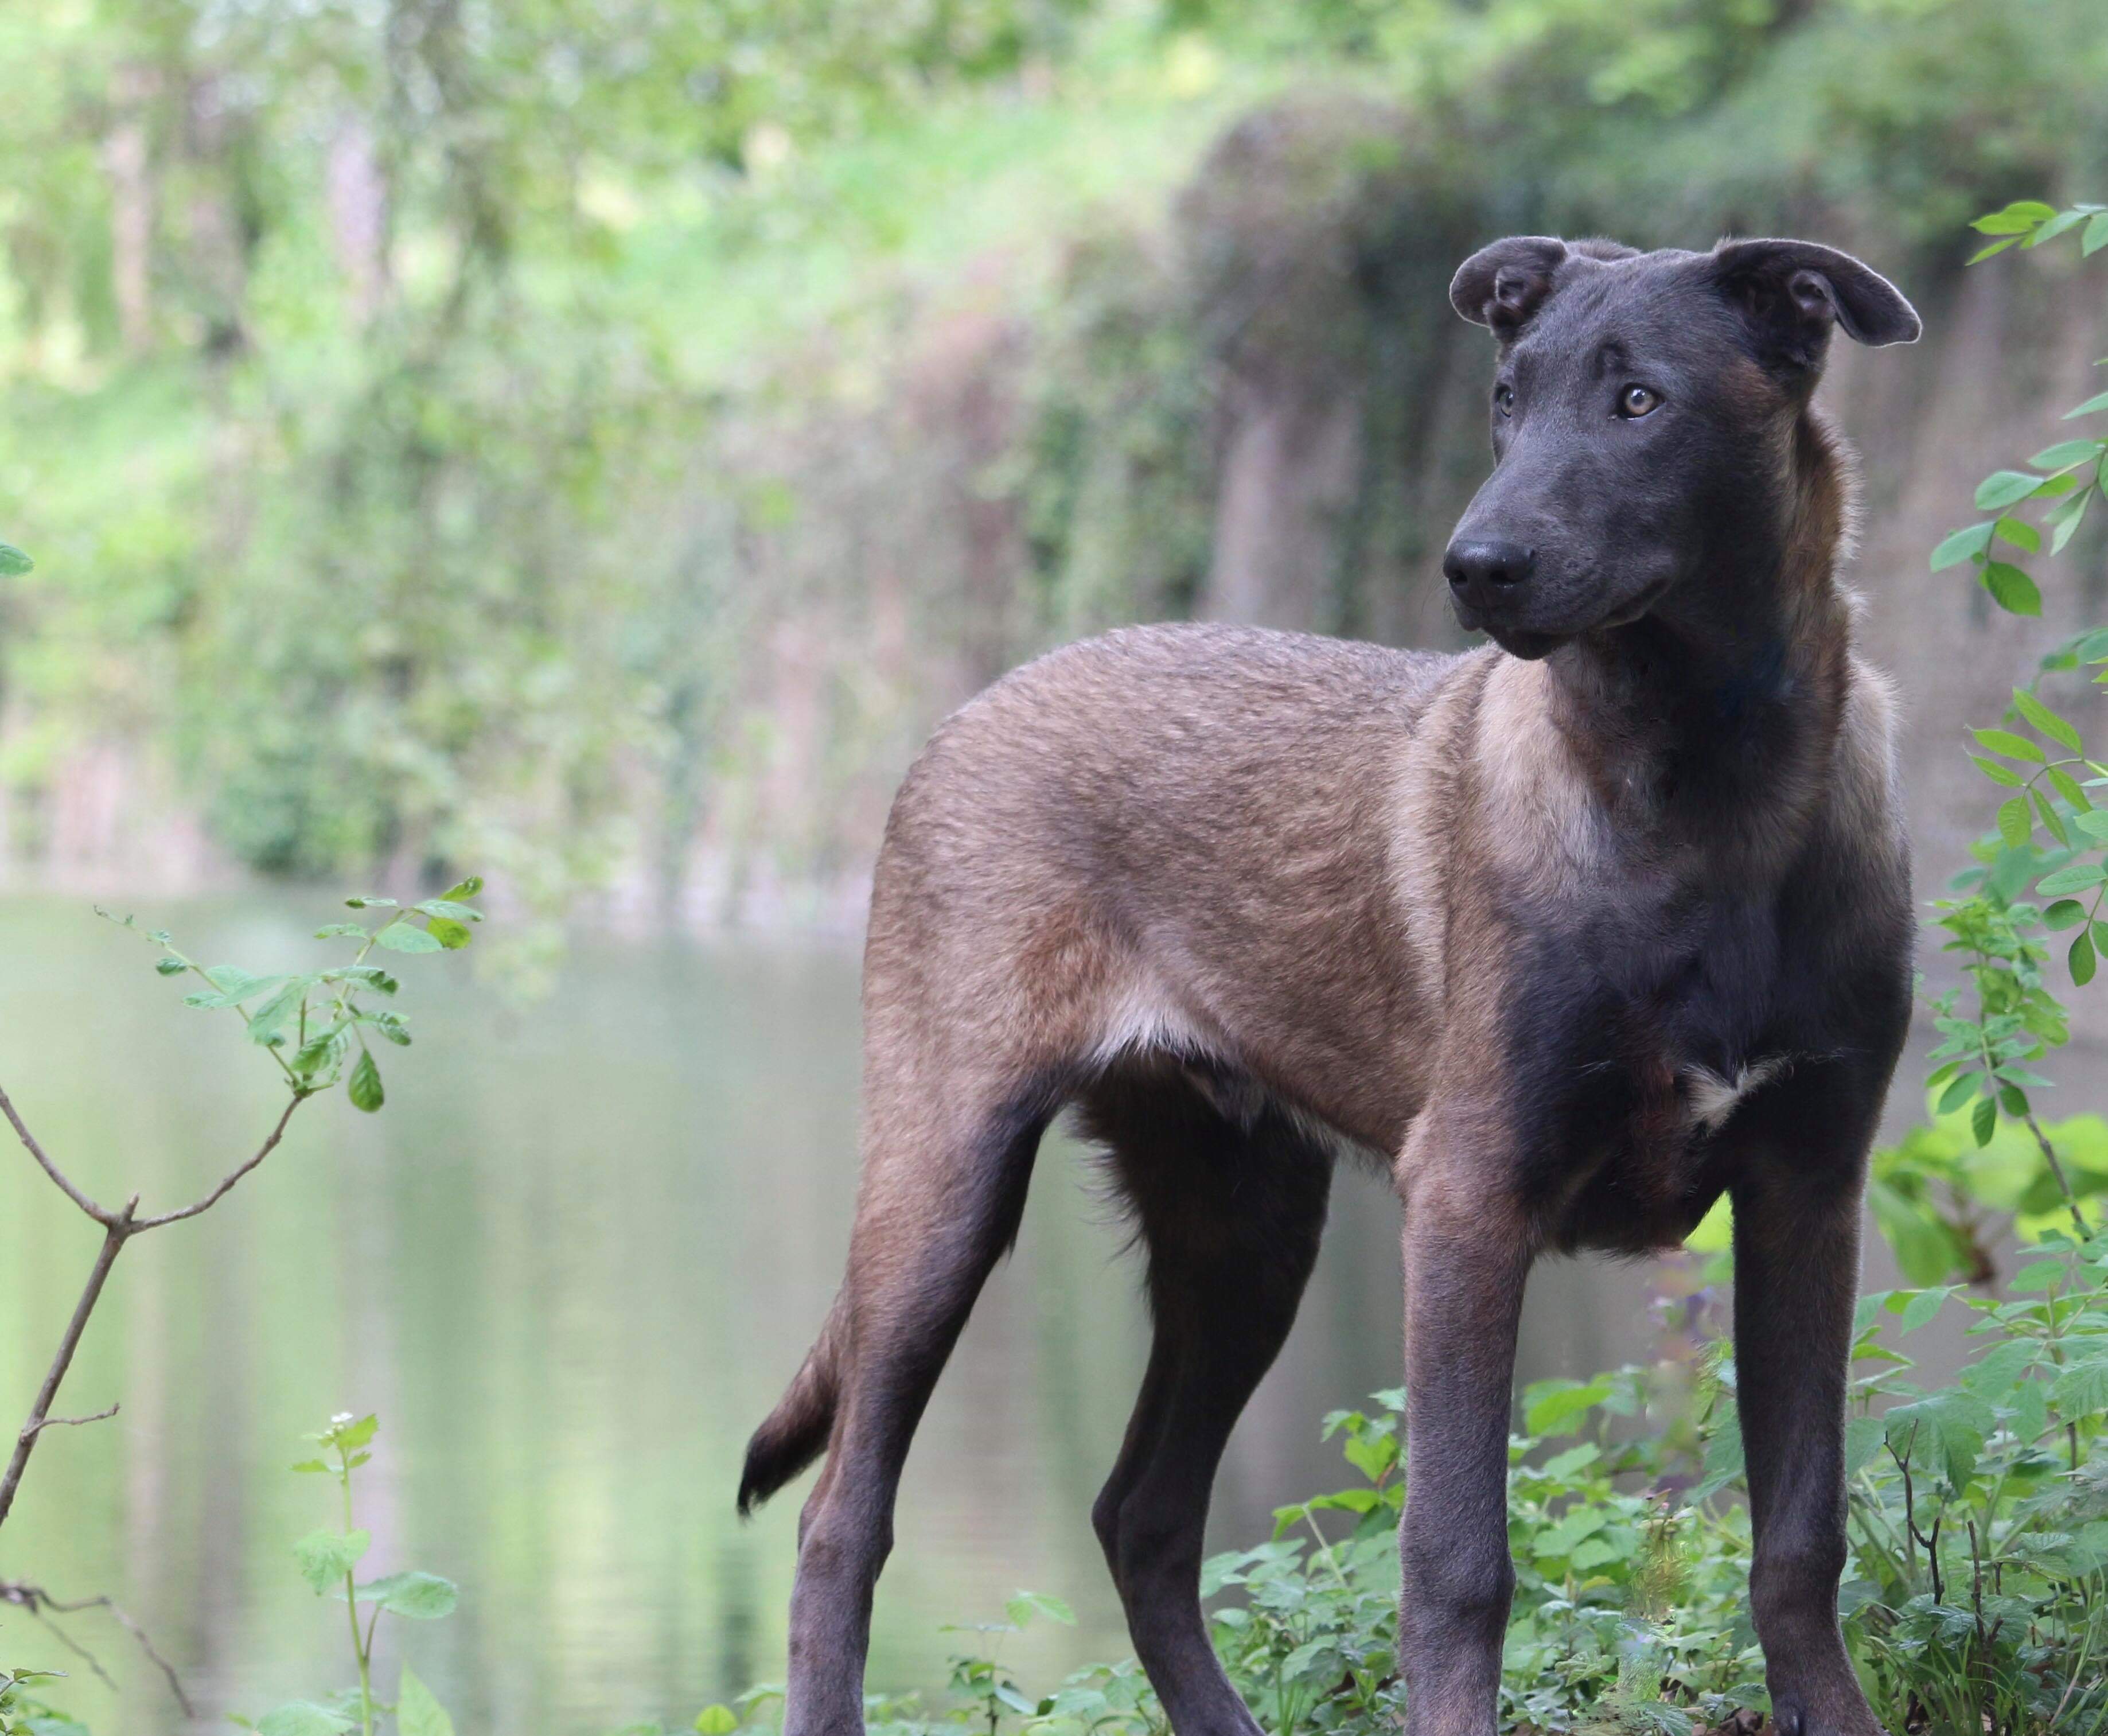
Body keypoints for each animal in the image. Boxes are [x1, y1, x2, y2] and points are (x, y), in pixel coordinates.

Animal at [742, 234, 1931, 1736]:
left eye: (1640, 401)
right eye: (1504, 397)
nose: (1474, 566)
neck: (1705, 795)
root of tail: (961, 716)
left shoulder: (1805, 1188)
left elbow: (1798, 1537)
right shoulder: (1471, 1195)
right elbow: (1458, 1560)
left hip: (1243, 1227)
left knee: (1140, 1514)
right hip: (943, 1183)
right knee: (842, 1518)